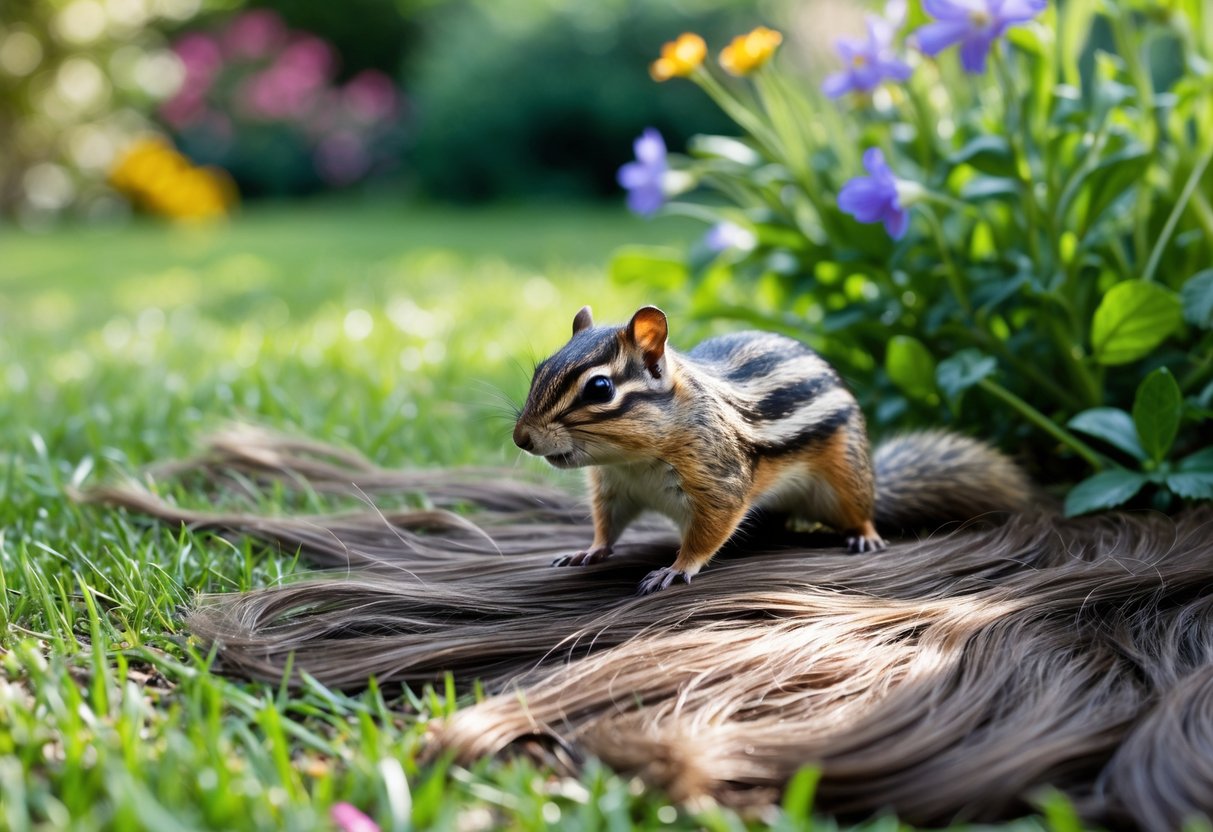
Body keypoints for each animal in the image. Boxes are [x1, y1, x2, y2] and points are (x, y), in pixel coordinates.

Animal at [512, 305, 1032, 595]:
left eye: (599, 388)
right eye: (539, 370)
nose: (522, 438)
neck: (632, 461)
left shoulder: (719, 480)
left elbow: (708, 533)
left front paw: (675, 568)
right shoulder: (614, 487)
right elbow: (607, 525)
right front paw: (588, 551)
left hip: (843, 480)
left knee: (861, 510)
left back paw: (864, 534)